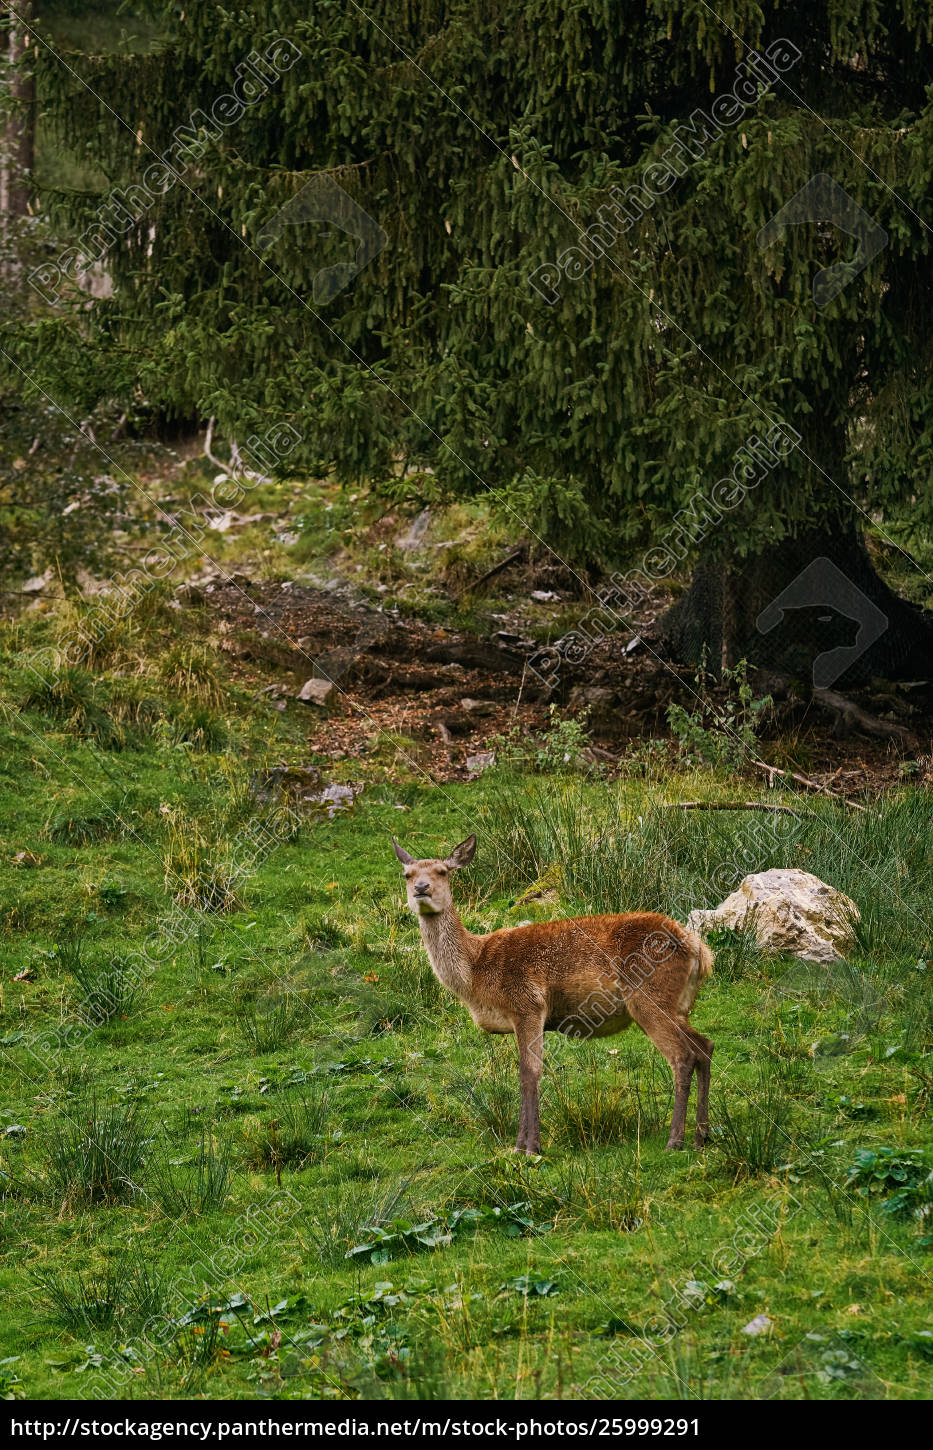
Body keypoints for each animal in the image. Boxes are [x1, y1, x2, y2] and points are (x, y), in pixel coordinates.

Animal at [391, 841, 716, 1154]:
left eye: (442, 871)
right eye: (407, 874)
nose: (421, 887)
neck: (476, 974)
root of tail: (701, 951)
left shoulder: (527, 1004)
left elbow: (529, 1073)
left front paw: (528, 1147)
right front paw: (522, 1145)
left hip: (650, 999)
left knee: (682, 1055)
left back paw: (675, 1140)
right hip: (679, 1005)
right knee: (704, 1046)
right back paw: (701, 1137)